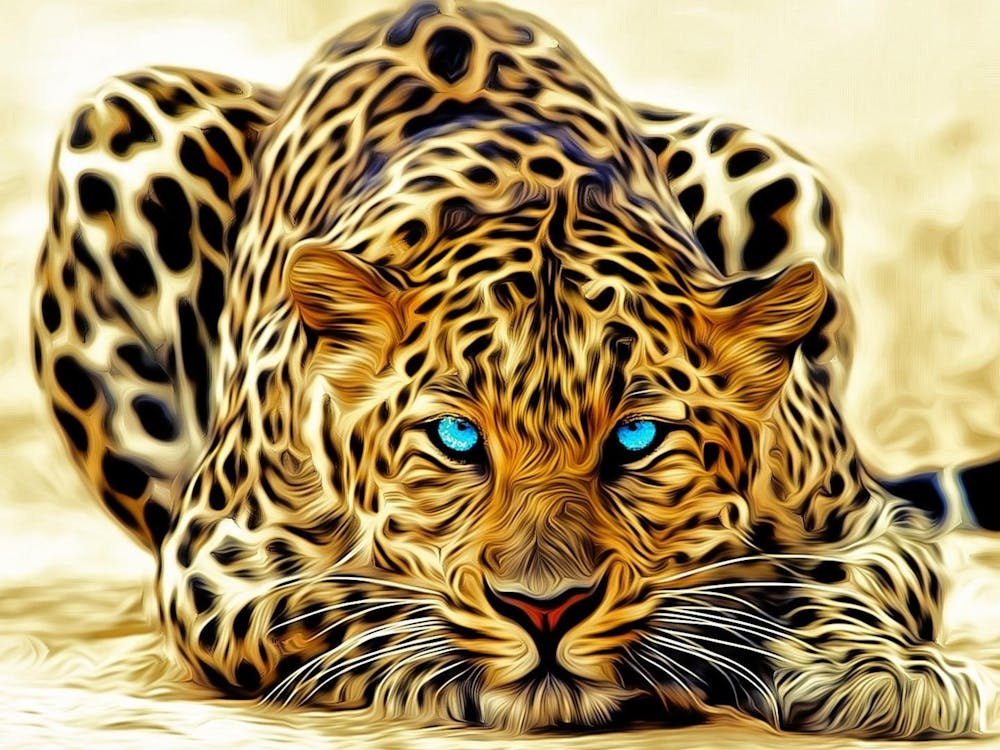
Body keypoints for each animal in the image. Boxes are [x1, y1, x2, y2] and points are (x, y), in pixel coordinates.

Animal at [30, 0, 998, 737]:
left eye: (637, 439)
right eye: (457, 438)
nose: (546, 610)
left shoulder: (867, 521)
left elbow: (861, 582)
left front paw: (883, 676)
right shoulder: (218, 559)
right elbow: (344, 606)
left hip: (767, 161)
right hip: (118, 121)